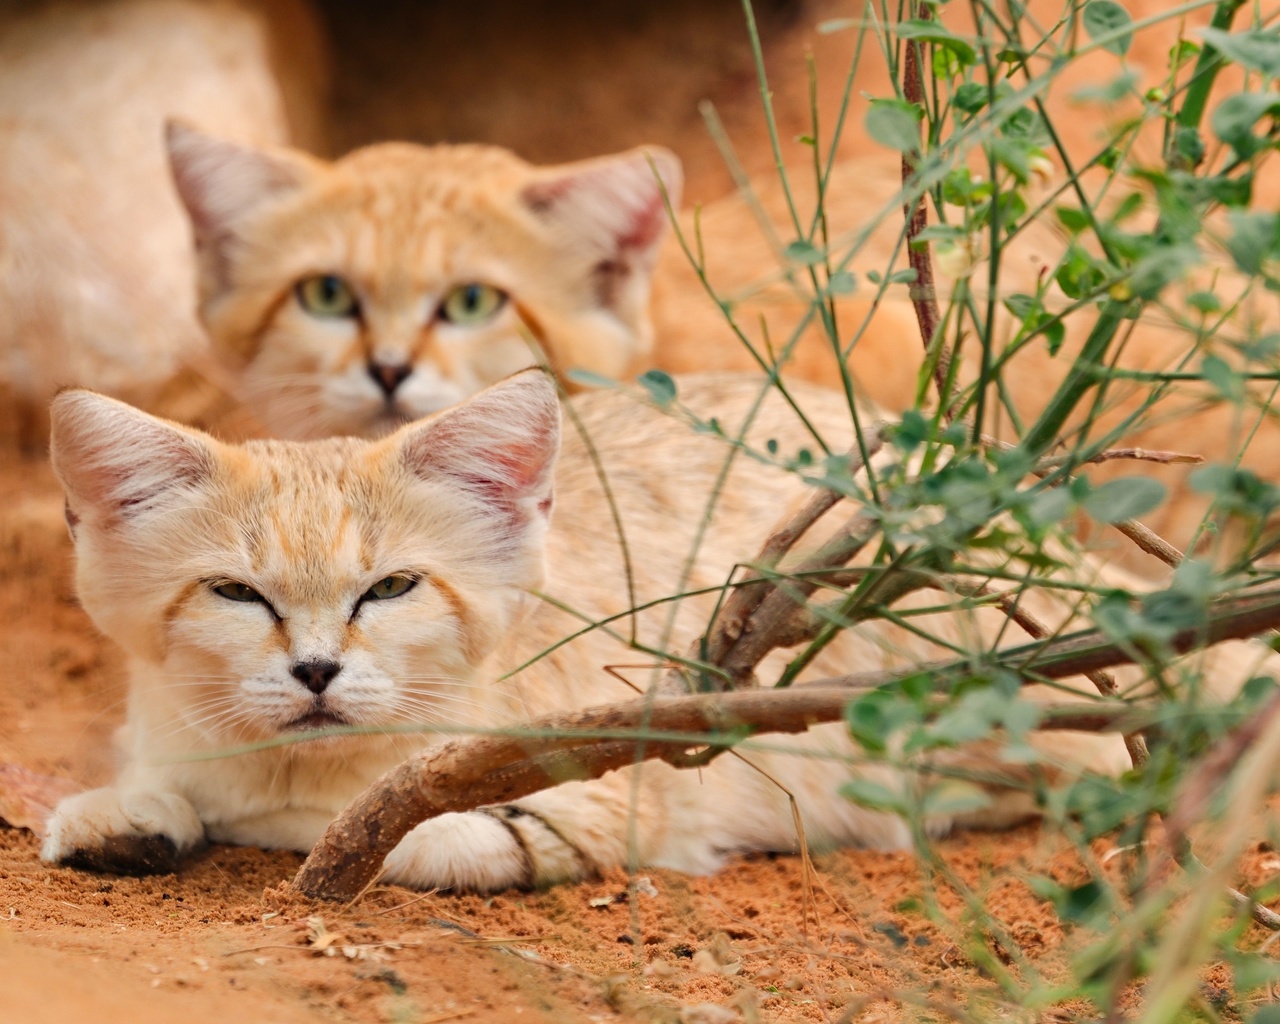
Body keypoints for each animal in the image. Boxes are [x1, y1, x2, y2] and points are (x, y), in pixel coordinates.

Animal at [40, 371, 1259, 890]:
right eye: (236, 595)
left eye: (389, 588)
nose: (316, 669)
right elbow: (161, 781)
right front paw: (129, 810)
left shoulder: (610, 798)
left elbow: (370, 829)